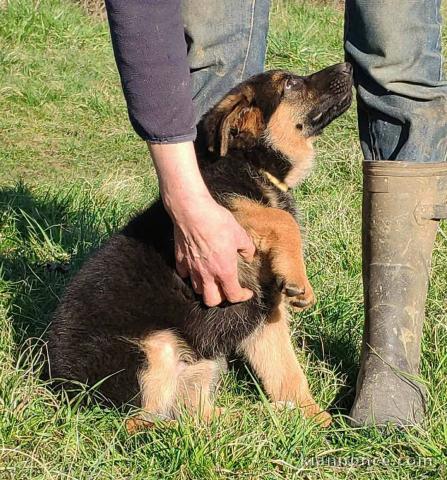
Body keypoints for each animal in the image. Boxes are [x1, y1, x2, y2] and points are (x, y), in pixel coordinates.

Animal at [46, 62, 354, 426]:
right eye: (290, 84)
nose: (348, 66)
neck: (251, 164)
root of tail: (59, 384)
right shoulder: (224, 218)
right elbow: (281, 219)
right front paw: (300, 281)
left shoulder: (265, 316)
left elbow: (286, 371)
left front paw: (315, 420)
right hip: (152, 351)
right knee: (139, 420)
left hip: (200, 366)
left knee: (193, 415)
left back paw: (249, 420)